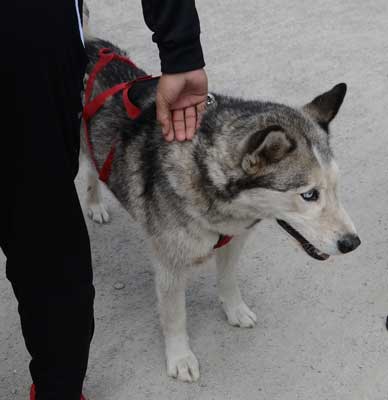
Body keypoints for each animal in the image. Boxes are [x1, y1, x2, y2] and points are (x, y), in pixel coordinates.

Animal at [80, 36, 362, 382]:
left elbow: (228, 279)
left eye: (335, 187)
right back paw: (94, 203)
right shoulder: (170, 263)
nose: (352, 243)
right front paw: (180, 357)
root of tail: (93, 44)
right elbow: (175, 316)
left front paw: (235, 309)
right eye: (309, 195)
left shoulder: (235, 237)